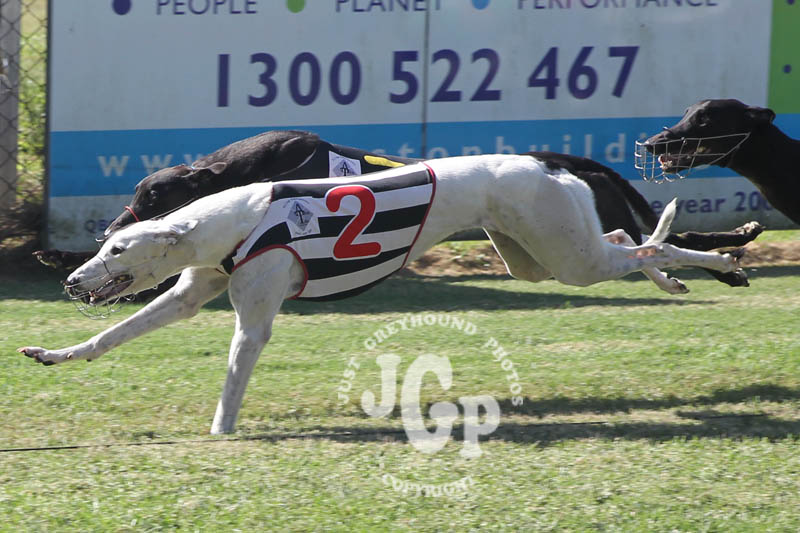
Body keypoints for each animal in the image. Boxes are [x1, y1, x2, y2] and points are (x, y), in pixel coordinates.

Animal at [18, 154, 743, 434]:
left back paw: (717, 263)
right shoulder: (188, 295)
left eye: (118, 249)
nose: (71, 280)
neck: (235, 218)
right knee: (627, 236)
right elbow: (110, 335)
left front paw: (221, 434)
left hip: (568, 257)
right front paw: (53, 354)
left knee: (650, 245)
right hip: (543, 258)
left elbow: (234, 374)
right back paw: (680, 273)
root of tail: (549, 165)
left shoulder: (254, 317)